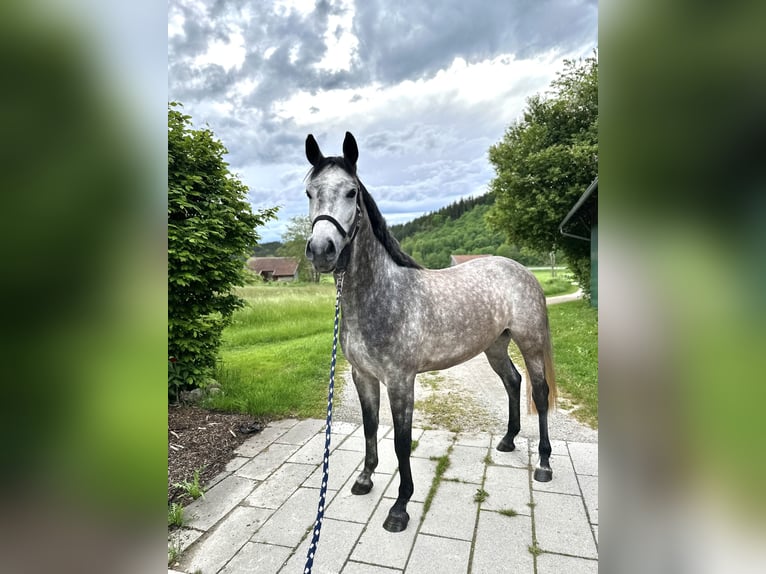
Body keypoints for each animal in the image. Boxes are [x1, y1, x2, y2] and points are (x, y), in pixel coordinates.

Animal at [304, 132, 560, 536]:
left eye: (350, 192)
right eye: (309, 192)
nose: (320, 250)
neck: (382, 295)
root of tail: (522, 271)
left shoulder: (400, 381)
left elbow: (401, 441)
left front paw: (400, 507)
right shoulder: (363, 376)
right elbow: (369, 427)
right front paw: (365, 479)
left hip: (530, 342)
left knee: (539, 391)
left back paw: (545, 465)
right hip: (495, 346)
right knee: (512, 382)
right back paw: (507, 441)